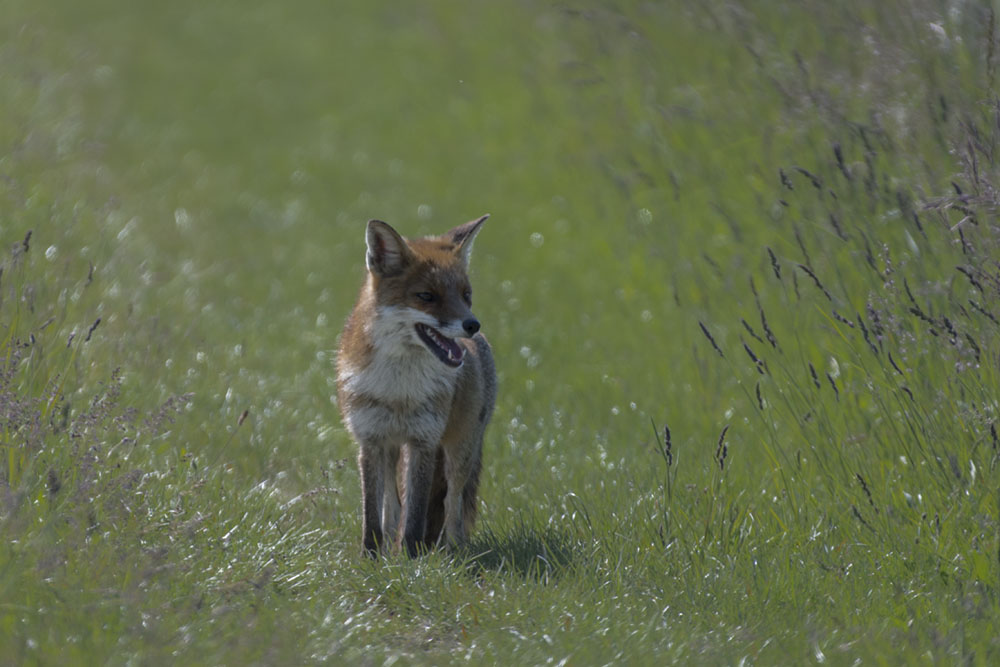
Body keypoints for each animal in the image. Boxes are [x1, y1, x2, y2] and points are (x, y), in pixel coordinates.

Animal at [336, 215, 497, 558]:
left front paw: (412, 559)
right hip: (392, 450)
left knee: (452, 502)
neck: (399, 390)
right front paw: (371, 558)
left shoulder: (424, 440)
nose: (472, 324)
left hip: (460, 449)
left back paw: (453, 551)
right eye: (427, 296)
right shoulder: (370, 440)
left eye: (466, 295)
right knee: (392, 505)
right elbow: (374, 514)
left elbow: (417, 513)